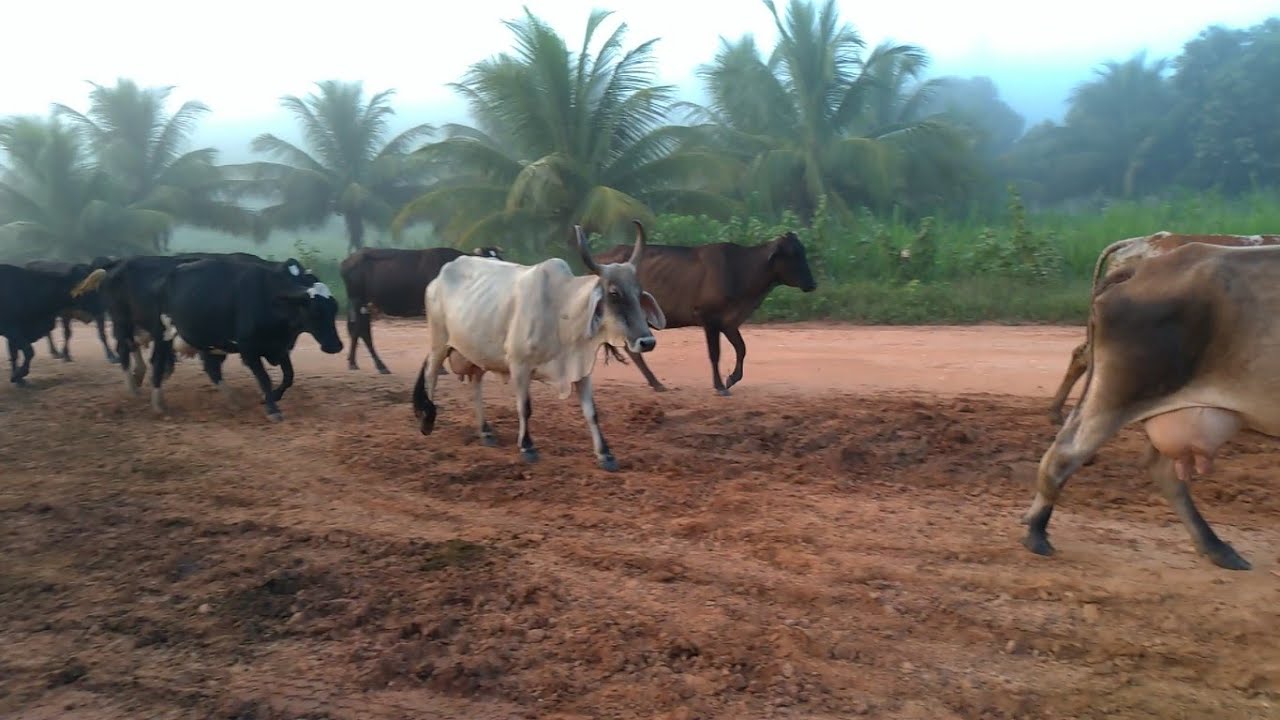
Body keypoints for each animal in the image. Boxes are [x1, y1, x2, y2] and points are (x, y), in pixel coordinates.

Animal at [339, 245, 505, 374]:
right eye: (486, 263)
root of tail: (350, 259)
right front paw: (440, 369)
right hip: (358, 301)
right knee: (360, 331)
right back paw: (371, 365)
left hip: (365, 305)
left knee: (360, 331)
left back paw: (358, 363)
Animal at [411, 221, 665, 471]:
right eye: (614, 293)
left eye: (638, 293)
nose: (647, 342)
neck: (562, 312)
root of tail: (437, 279)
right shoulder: (519, 366)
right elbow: (525, 407)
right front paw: (527, 447)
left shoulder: (581, 369)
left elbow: (592, 412)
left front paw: (605, 454)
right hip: (439, 342)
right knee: (431, 374)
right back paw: (427, 420)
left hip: (476, 352)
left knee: (475, 384)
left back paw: (485, 432)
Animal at [591, 231, 817, 395]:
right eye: (792, 255)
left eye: (803, 252)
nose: (812, 284)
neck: (740, 270)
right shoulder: (709, 318)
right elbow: (715, 353)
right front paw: (720, 386)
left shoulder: (729, 322)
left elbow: (741, 349)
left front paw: (731, 379)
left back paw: (655, 383)